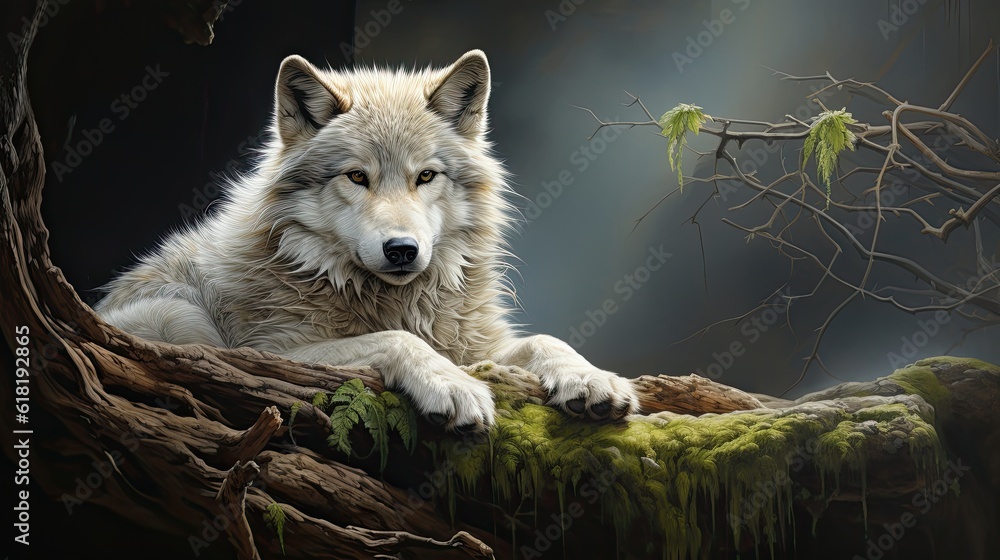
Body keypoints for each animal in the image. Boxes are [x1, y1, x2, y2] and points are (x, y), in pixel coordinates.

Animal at [95, 50, 639, 431]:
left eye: (426, 176)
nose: (401, 250)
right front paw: (449, 384)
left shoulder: (476, 344)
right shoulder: (271, 354)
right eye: (357, 176)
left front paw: (591, 378)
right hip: (178, 316)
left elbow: (546, 339)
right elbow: (397, 339)